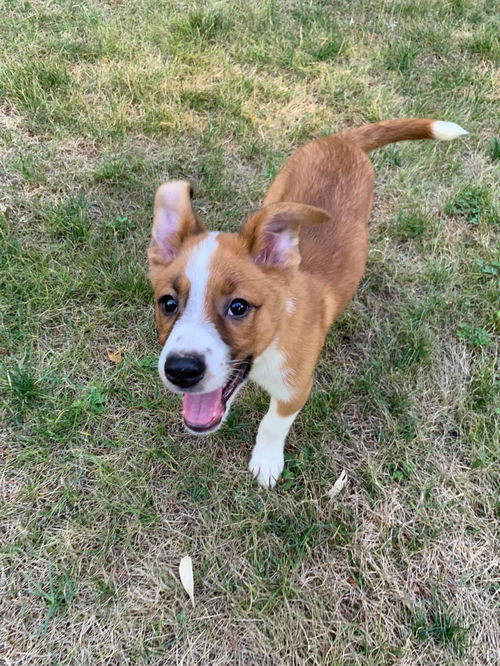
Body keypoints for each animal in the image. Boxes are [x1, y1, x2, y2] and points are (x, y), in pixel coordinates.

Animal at [146, 118, 466, 488]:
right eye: (168, 303)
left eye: (239, 307)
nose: (181, 371)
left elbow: (272, 424)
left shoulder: (296, 388)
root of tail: (342, 140)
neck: (270, 348)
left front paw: (266, 462)